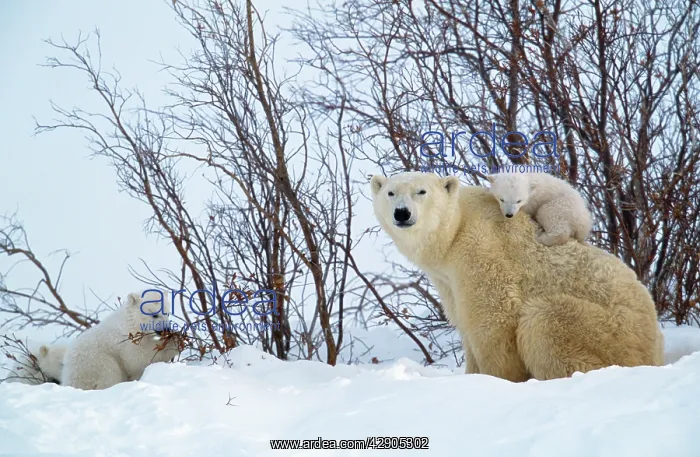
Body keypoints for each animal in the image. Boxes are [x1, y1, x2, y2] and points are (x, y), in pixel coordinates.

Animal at [370, 171, 664, 381]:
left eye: (421, 191)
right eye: (390, 192)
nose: (402, 213)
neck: (455, 231)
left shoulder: (481, 250)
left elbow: (493, 321)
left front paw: (496, 380)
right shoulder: (447, 280)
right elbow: (463, 321)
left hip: (613, 332)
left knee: (545, 321)